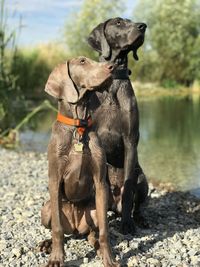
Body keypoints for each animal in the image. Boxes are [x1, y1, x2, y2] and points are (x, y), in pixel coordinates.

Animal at [40, 57, 119, 267]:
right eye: (82, 61)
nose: (112, 67)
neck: (78, 127)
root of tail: (75, 227)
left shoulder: (100, 183)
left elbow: (105, 231)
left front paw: (109, 258)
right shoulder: (55, 179)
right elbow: (57, 229)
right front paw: (56, 258)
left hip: (95, 209)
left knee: (93, 233)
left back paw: (96, 246)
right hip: (47, 208)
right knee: (60, 229)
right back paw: (47, 244)